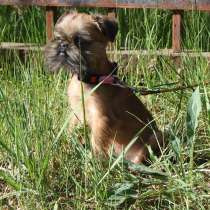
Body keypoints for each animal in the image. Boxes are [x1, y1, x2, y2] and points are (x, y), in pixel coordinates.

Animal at [45, 11, 164, 164]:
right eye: (58, 38)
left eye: (80, 42)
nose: (63, 45)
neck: (89, 79)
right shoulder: (76, 113)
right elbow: (70, 130)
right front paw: (64, 145)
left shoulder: (101, 119)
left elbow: (96, 142)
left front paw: (93, 162)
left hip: (155, 137)